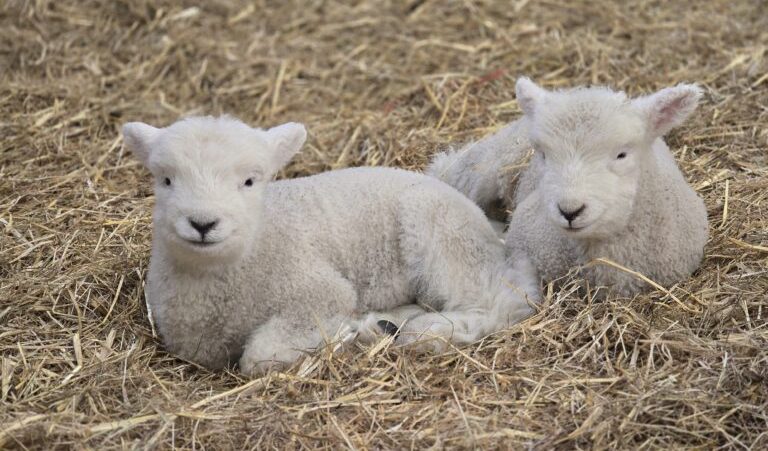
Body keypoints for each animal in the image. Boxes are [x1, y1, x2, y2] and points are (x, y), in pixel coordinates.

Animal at [123, 115, 540, 376]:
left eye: (250, 181)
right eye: (165, 180)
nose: (202, 223)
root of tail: (485, 222)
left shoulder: (319, 291)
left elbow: (259, 357)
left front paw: (342, 334)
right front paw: (361, 329)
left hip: (442, 233)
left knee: (501, 302)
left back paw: (428, 331)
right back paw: (385, 325)